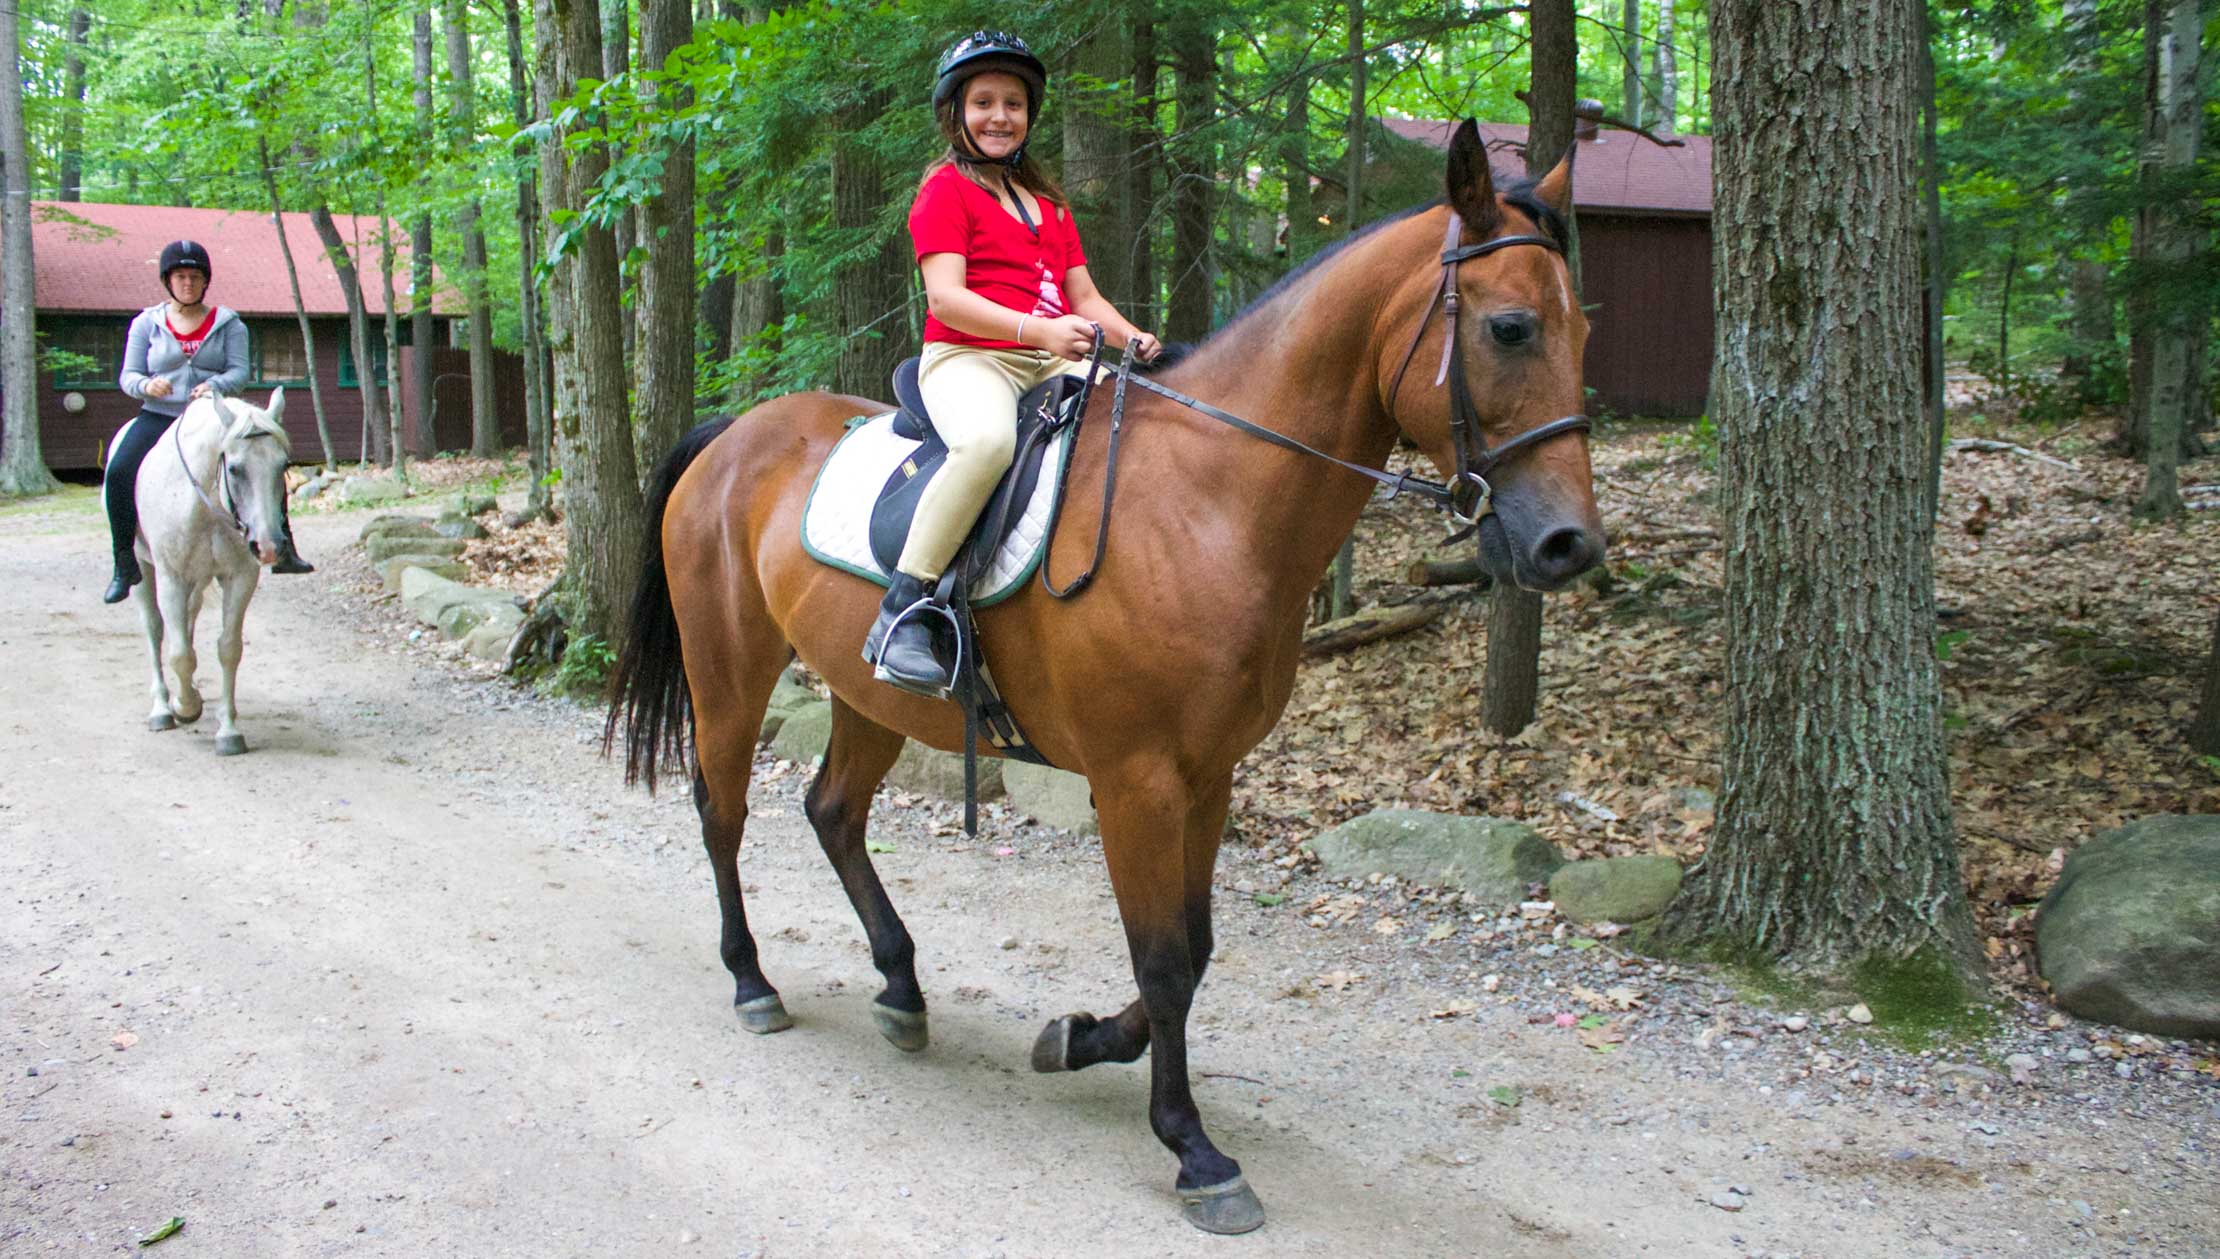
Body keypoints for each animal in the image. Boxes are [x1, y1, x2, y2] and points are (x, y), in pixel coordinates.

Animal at [132, 388, 297, 754]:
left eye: (283, 465)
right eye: (234, 469)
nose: (268, 546)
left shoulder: (240, 578)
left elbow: (228, 649)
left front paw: (228, 730)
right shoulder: (170, 579)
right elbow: (179, 653)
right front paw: (184, 706)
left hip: (198, 580)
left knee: (188, 620)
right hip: (142, 570)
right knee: (154, 628)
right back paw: (162, 708)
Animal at [608, 123, 1607, 1234]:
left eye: (1581, 331)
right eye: (1512, 328)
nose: (1569, 545)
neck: (1208, 503)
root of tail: (734, 433)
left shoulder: (1208, 776)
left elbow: (1197, 946)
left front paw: (1081, 1039)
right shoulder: (1135, 780)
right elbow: (1164, 957)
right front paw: (1193, 1147)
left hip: (870, 695)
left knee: (832, 811)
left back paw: (902, 989)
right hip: (728, 671)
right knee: (722, 808)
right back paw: (753, 982)